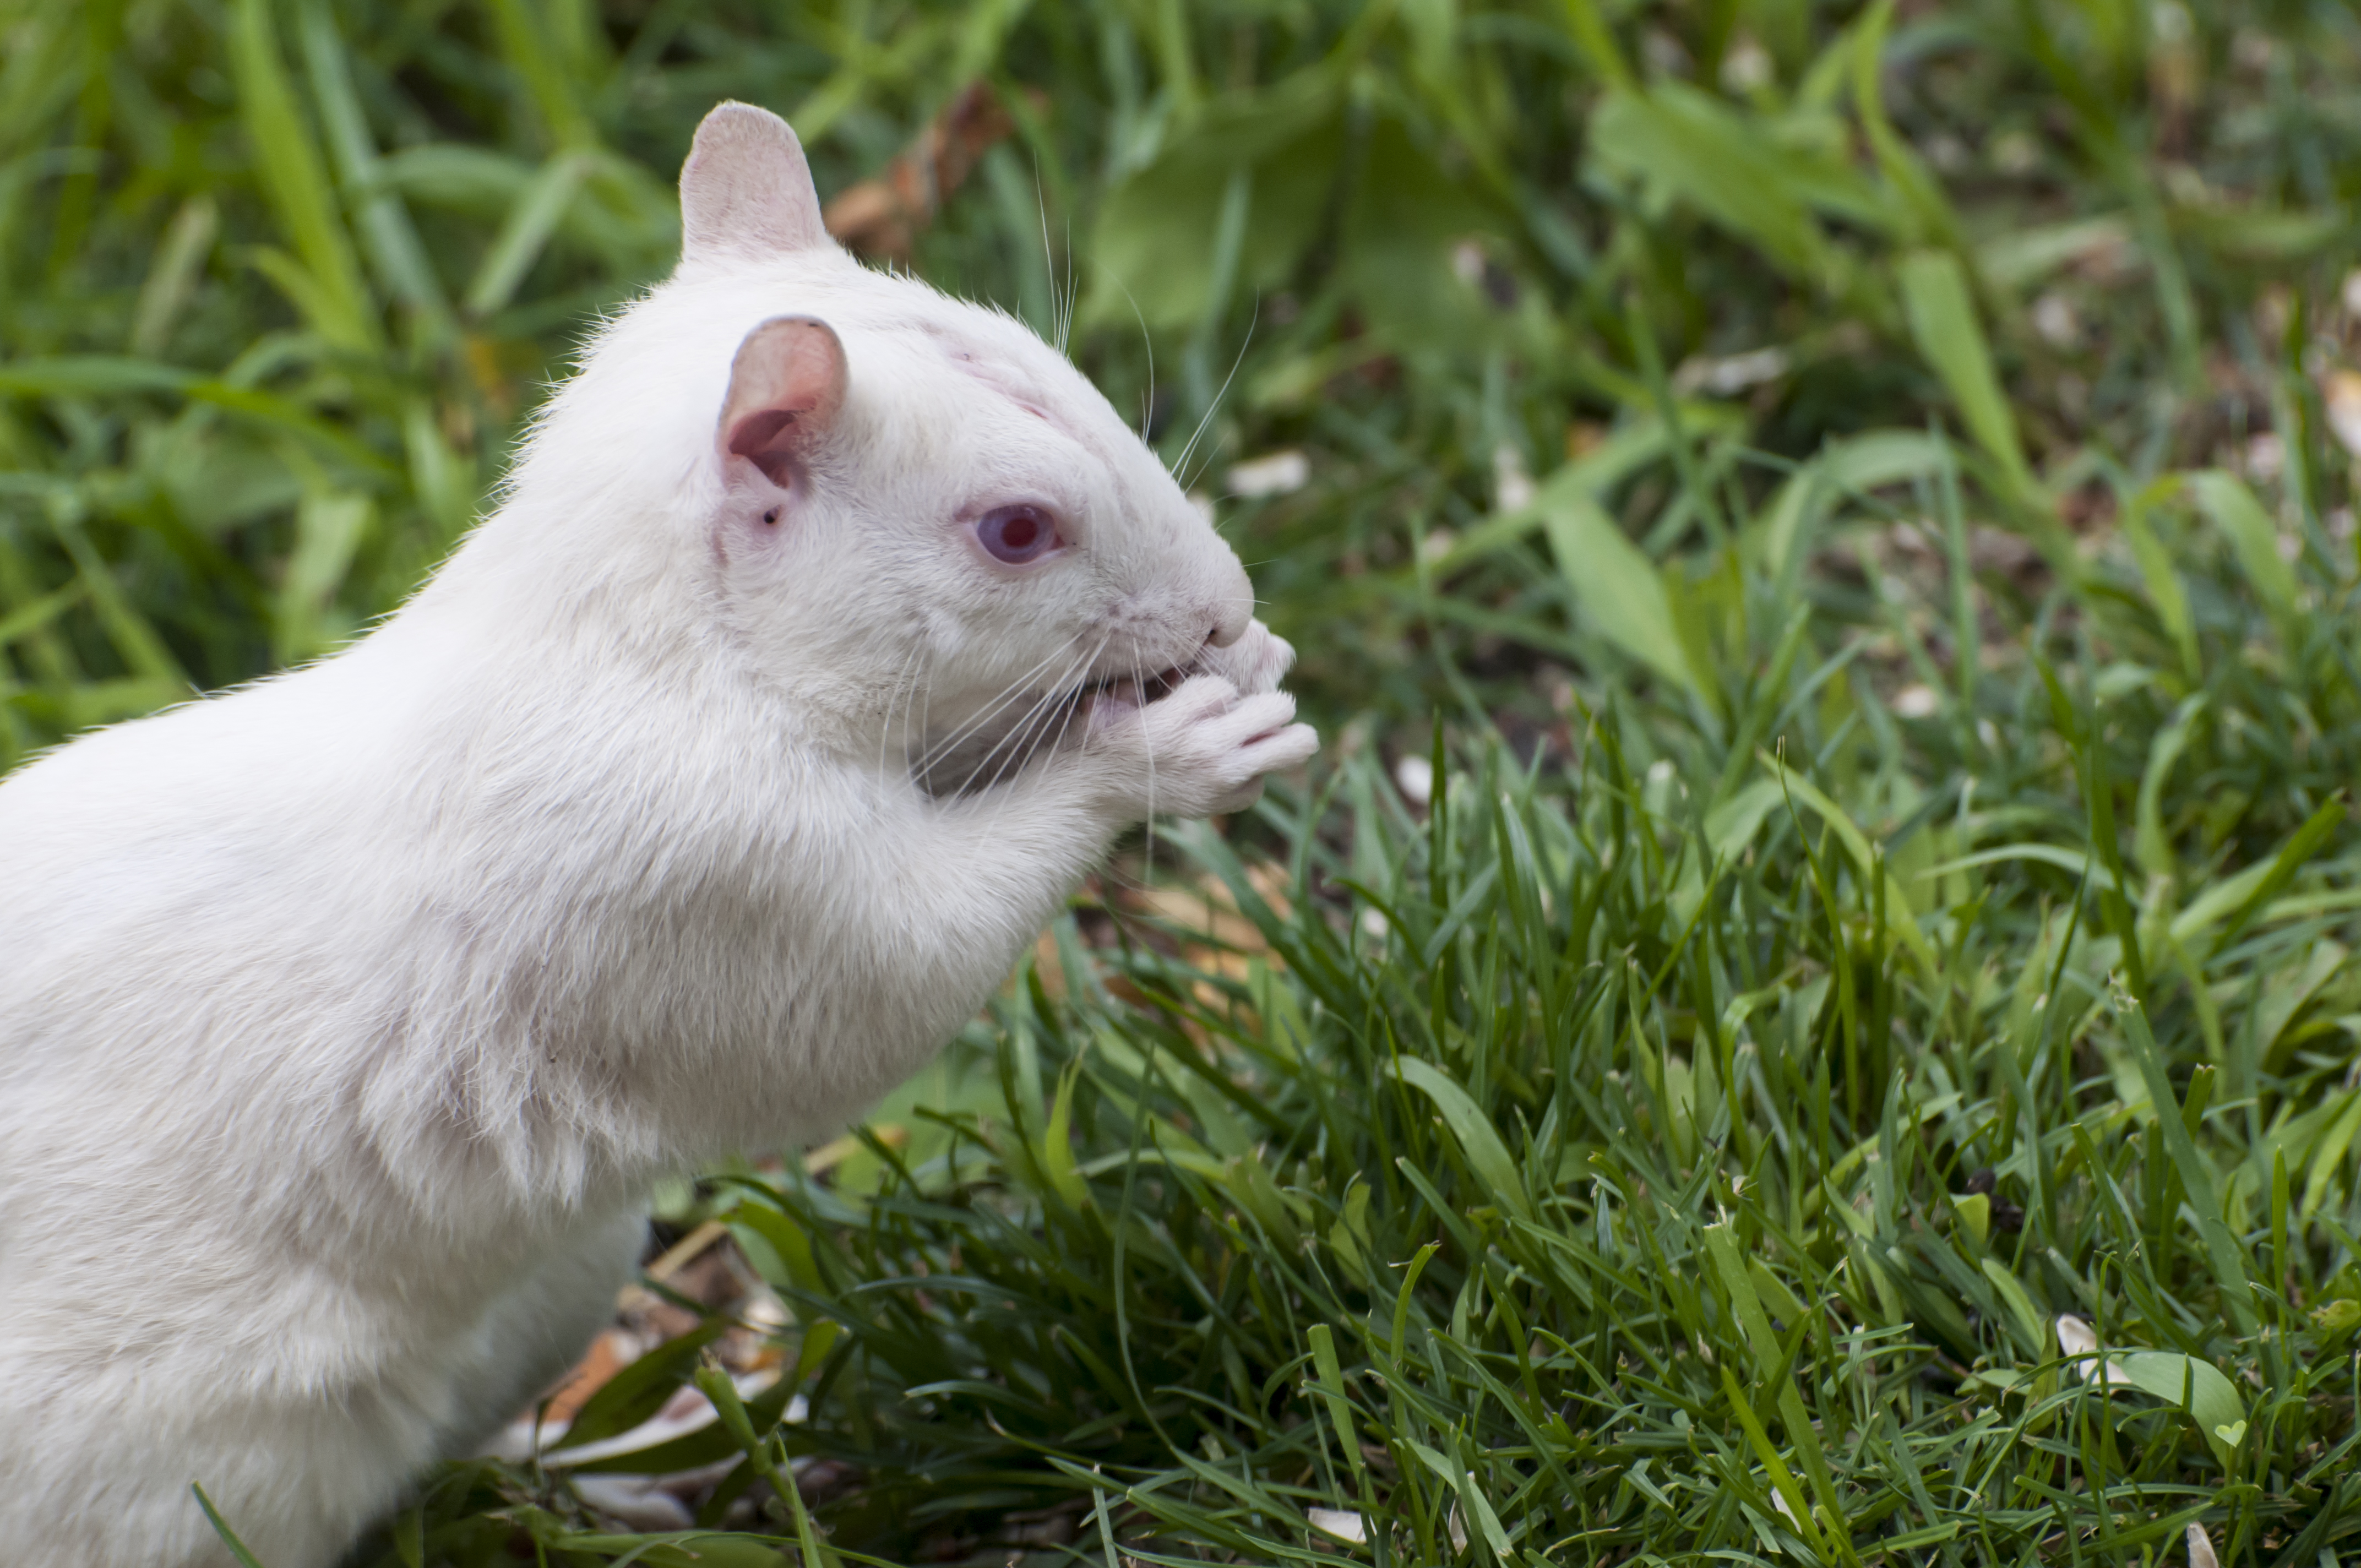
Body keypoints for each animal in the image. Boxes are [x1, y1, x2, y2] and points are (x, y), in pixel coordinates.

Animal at [0, 101, 1322, 1567]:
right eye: (1016, 528)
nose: (1225, 600)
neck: (661, 657)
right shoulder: (697, 878)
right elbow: (882, 986)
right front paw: (1165, 753)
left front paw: (1248, 664)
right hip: (167, 1485)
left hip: (558, 1282)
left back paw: (599, 1470)